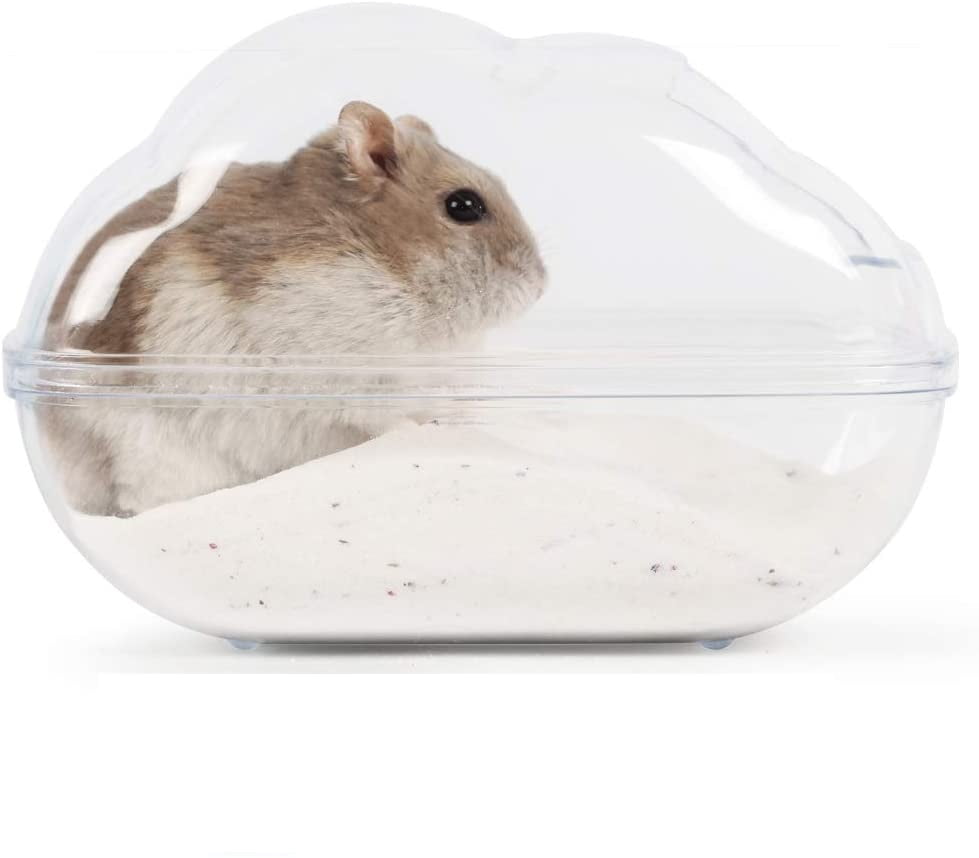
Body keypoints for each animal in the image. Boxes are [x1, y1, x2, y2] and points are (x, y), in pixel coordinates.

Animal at [41, 101, 547, 516]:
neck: (394, 273)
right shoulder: (344, 373)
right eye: (464, 205)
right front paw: (425, 430)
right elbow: (384, 415)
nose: (541, 285)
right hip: (149, 451)